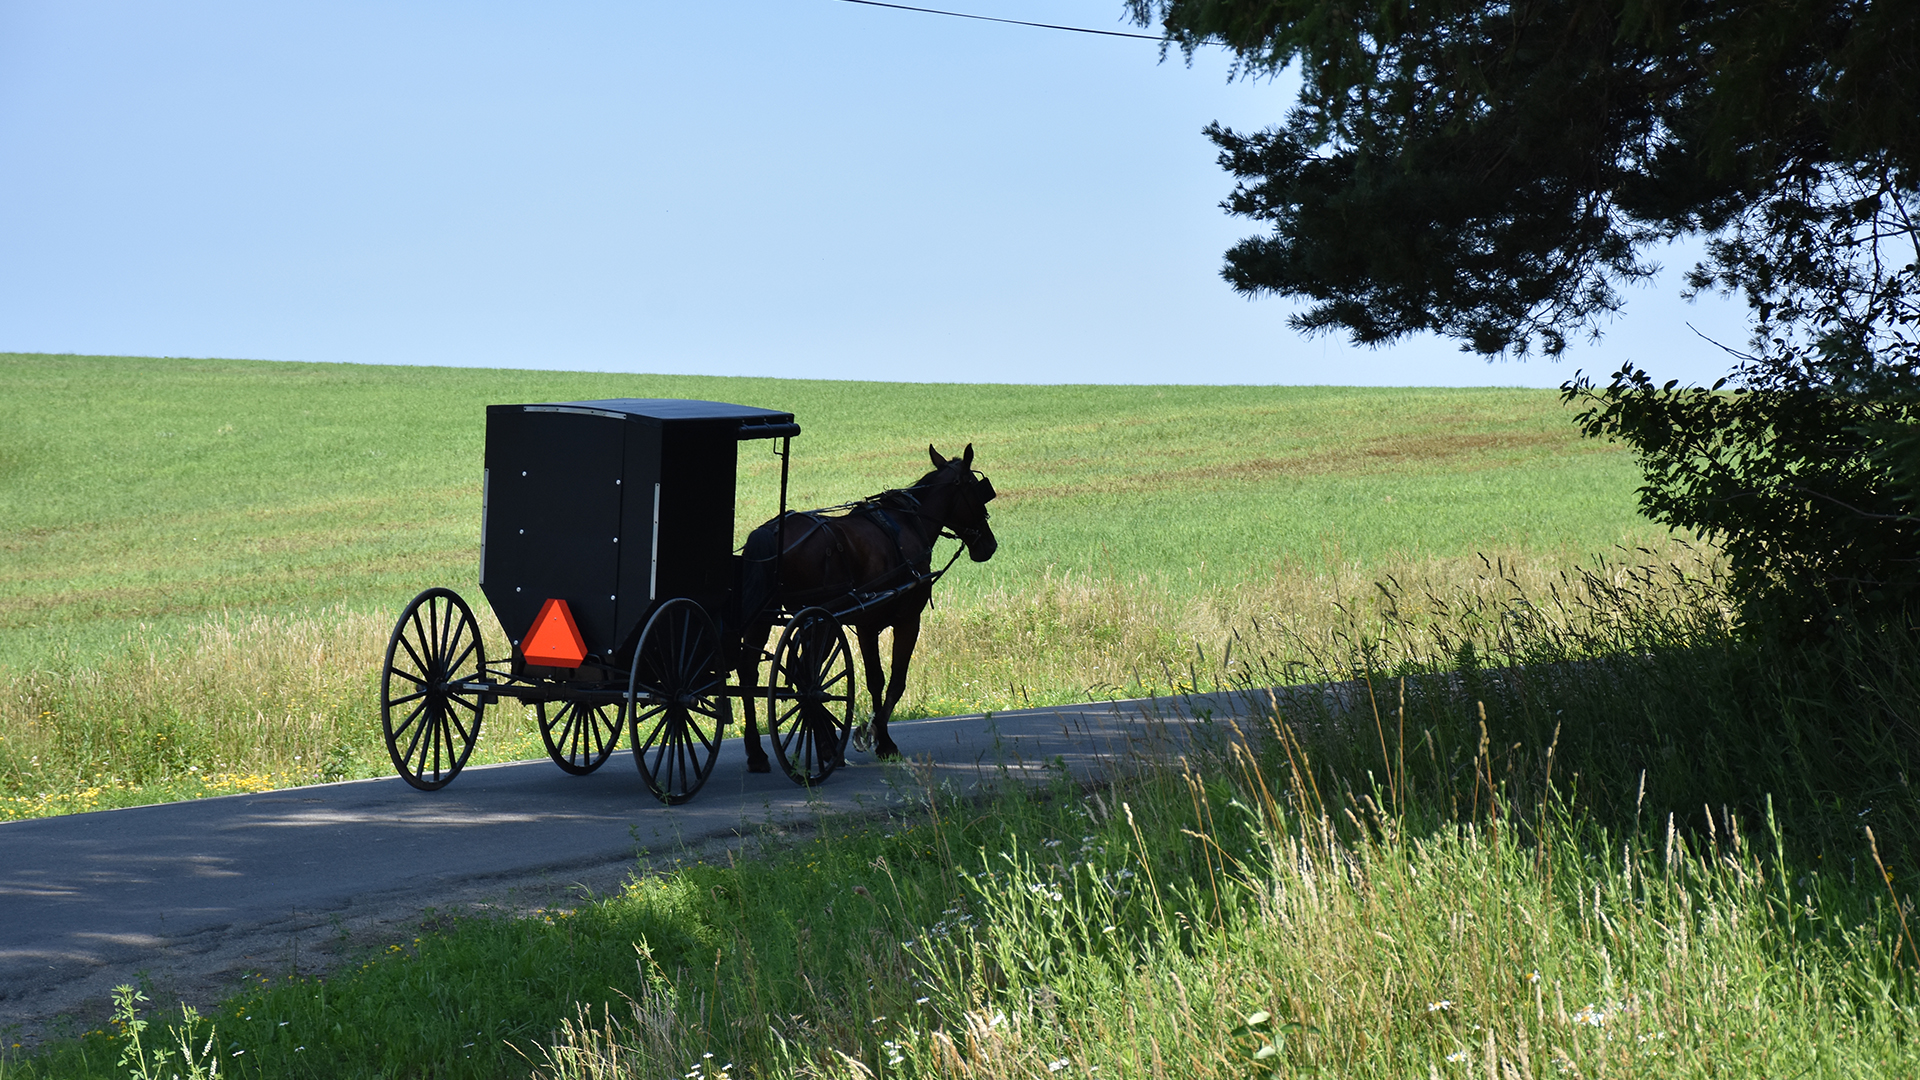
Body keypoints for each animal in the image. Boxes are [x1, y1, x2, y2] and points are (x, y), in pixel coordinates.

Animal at [737, 441, 998, 760]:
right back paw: (823, 743)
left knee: (751, 672)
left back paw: (761, 751)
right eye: (975, 487)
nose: (988, 545)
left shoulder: (861, 625)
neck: (908, 522)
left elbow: (878, 680)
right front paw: (879, 737)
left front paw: (871, 734)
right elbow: (890, 681)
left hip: (770, 618)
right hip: (817, 619)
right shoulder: (901, 621)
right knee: (805, 677)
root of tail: (769, 532)